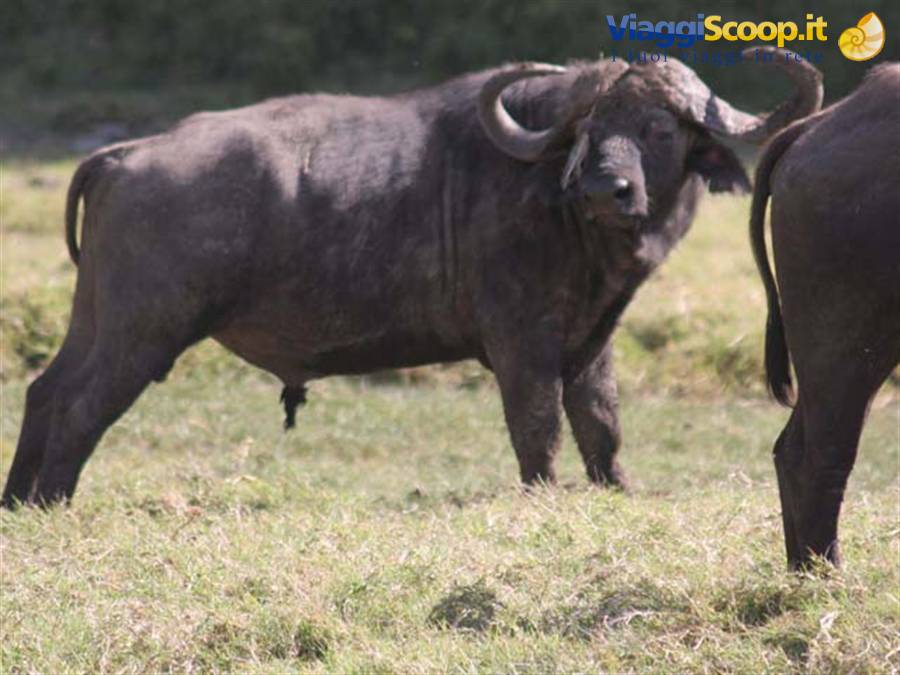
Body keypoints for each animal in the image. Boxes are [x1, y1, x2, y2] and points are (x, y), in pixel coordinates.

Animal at [3, 47, 821, 506]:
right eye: (589, 129)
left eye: (658, 128)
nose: (605, 188)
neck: (561, 211)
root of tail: (125, 154)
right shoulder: (521, 338)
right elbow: (538, 424)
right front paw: (544, 495)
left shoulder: (593, 336)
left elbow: (602, 421)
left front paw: (616, 490)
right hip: (144, 330)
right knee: (81, 406)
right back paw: (53, 501)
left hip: (96, 318)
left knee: (45, 390)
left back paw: (17, 500)